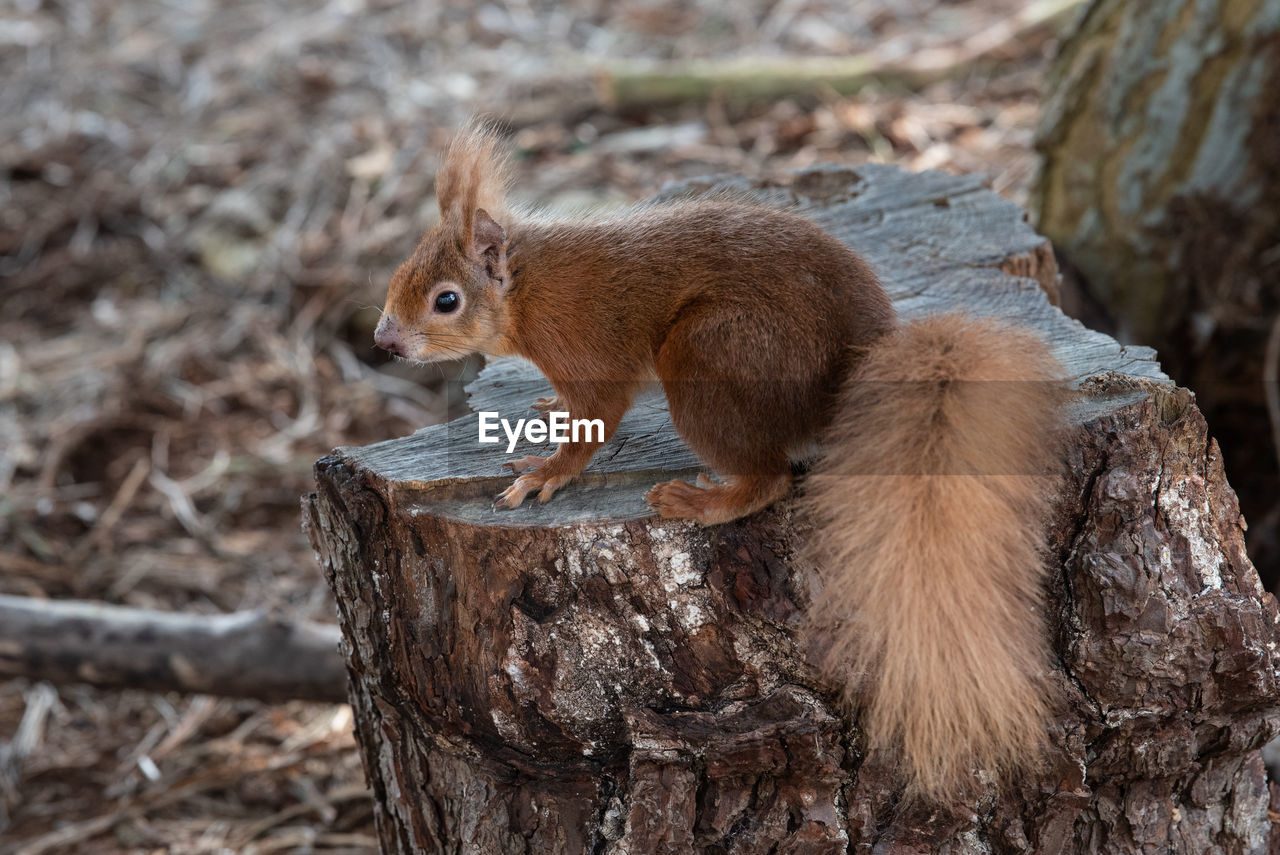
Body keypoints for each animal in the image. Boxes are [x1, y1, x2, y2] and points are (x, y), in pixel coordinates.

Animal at [373, 121, 1064, 803]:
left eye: (445, 301)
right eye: (399, 272)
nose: (384, 341)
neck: (526, 289)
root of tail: (856, 363)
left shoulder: (588, 352)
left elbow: (595, 422)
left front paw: (546, 475)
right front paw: (547, 407)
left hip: (708, 353)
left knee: (771, 477)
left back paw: (701, 502)